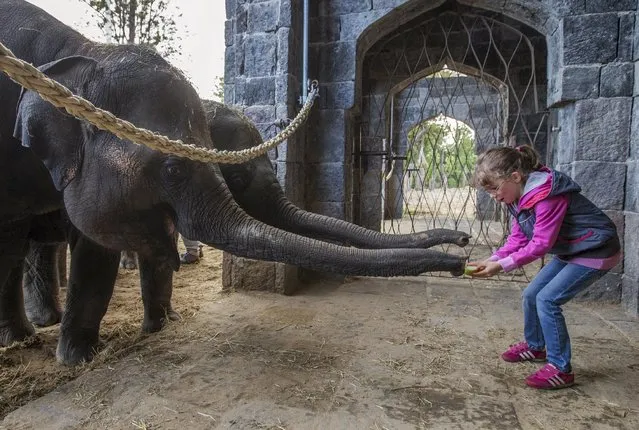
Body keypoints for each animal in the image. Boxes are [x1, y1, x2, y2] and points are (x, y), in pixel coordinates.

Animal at [2, 0, 468, 366]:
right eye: (174, 170)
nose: (461, 253)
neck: (85, 53)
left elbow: (101, 244)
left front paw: (156, 329)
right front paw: (77, 360)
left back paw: (41, 325)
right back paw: (26, 335)